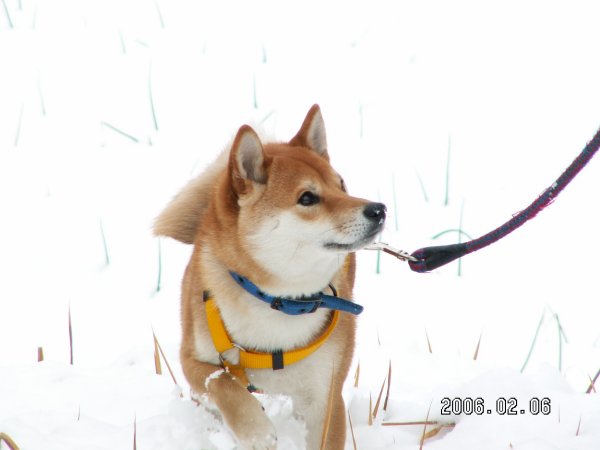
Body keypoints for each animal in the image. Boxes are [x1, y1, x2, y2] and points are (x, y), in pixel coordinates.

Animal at [155, 104, 386, 446]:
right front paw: (255, 430)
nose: (379, 210)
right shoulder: (193, 360)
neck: (279, 300)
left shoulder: (326, 397)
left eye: (341, 184)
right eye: (307, 198)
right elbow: (222, 382)